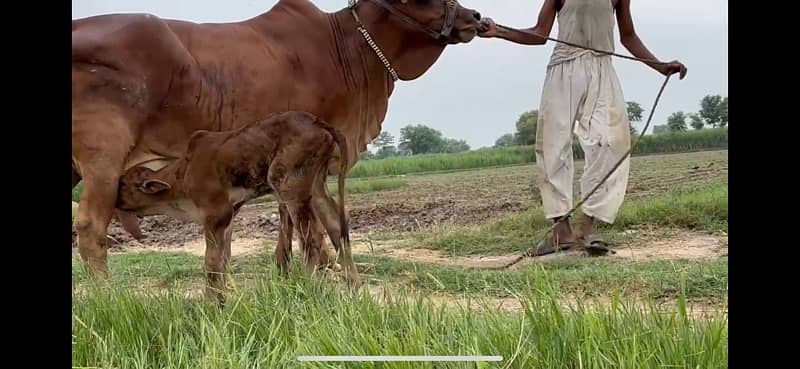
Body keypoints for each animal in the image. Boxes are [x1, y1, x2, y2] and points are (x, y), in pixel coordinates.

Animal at [70, 0, 482, 278]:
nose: (476, 17)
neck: (345, 48)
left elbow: (317, 219)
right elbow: (302, 218)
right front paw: (307, 269)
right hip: (103, 159)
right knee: (91, 228)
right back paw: (105, 300)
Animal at [115, 111, 360, 302]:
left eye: (124, 184)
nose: (113, 200)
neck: (183, 175)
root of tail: (318, 122)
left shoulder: (215, 213)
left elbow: (211, 261)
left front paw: (213, 303)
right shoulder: (230, 213)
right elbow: (224, 259)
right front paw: (222, 298)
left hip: (288, 184)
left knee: (312, 237)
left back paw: (310, 287)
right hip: (316, 186)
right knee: (336, 227)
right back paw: (353, 286)